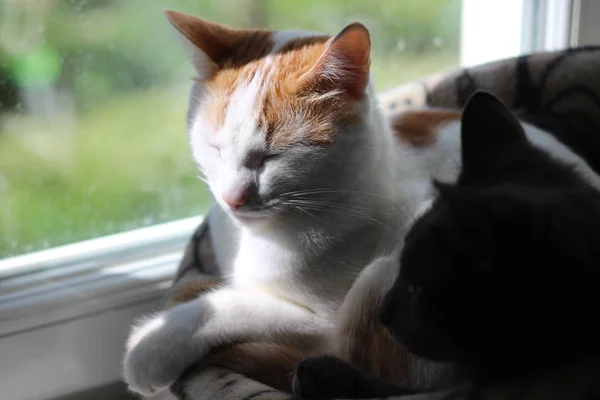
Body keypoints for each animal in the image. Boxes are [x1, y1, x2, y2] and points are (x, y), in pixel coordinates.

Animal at [122, 9, 600, 396]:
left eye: (271, 156)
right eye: (215, 147)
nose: (232, 198)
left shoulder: (319, 320)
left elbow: (235, 305)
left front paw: (153, 343)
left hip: (380, 283)